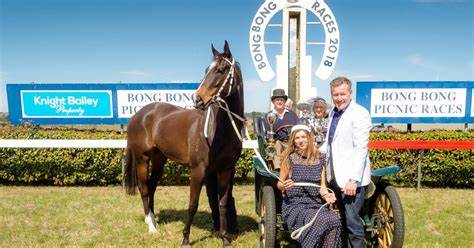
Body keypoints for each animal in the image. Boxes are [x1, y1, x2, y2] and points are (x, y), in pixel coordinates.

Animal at [124, 41, 244, 247]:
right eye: (206, 70)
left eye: (221, 69)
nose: (198, 99)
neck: (220, 130)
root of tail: (139, 115)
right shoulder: (198, 170)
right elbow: (192, 204)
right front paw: (186, 239)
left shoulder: (226, 170)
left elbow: (221, 204)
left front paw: (224, 238)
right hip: (142, 159)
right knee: (144, 188)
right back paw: (151, 227)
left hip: (159, 160)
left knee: (152, 187)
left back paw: (153, 220)